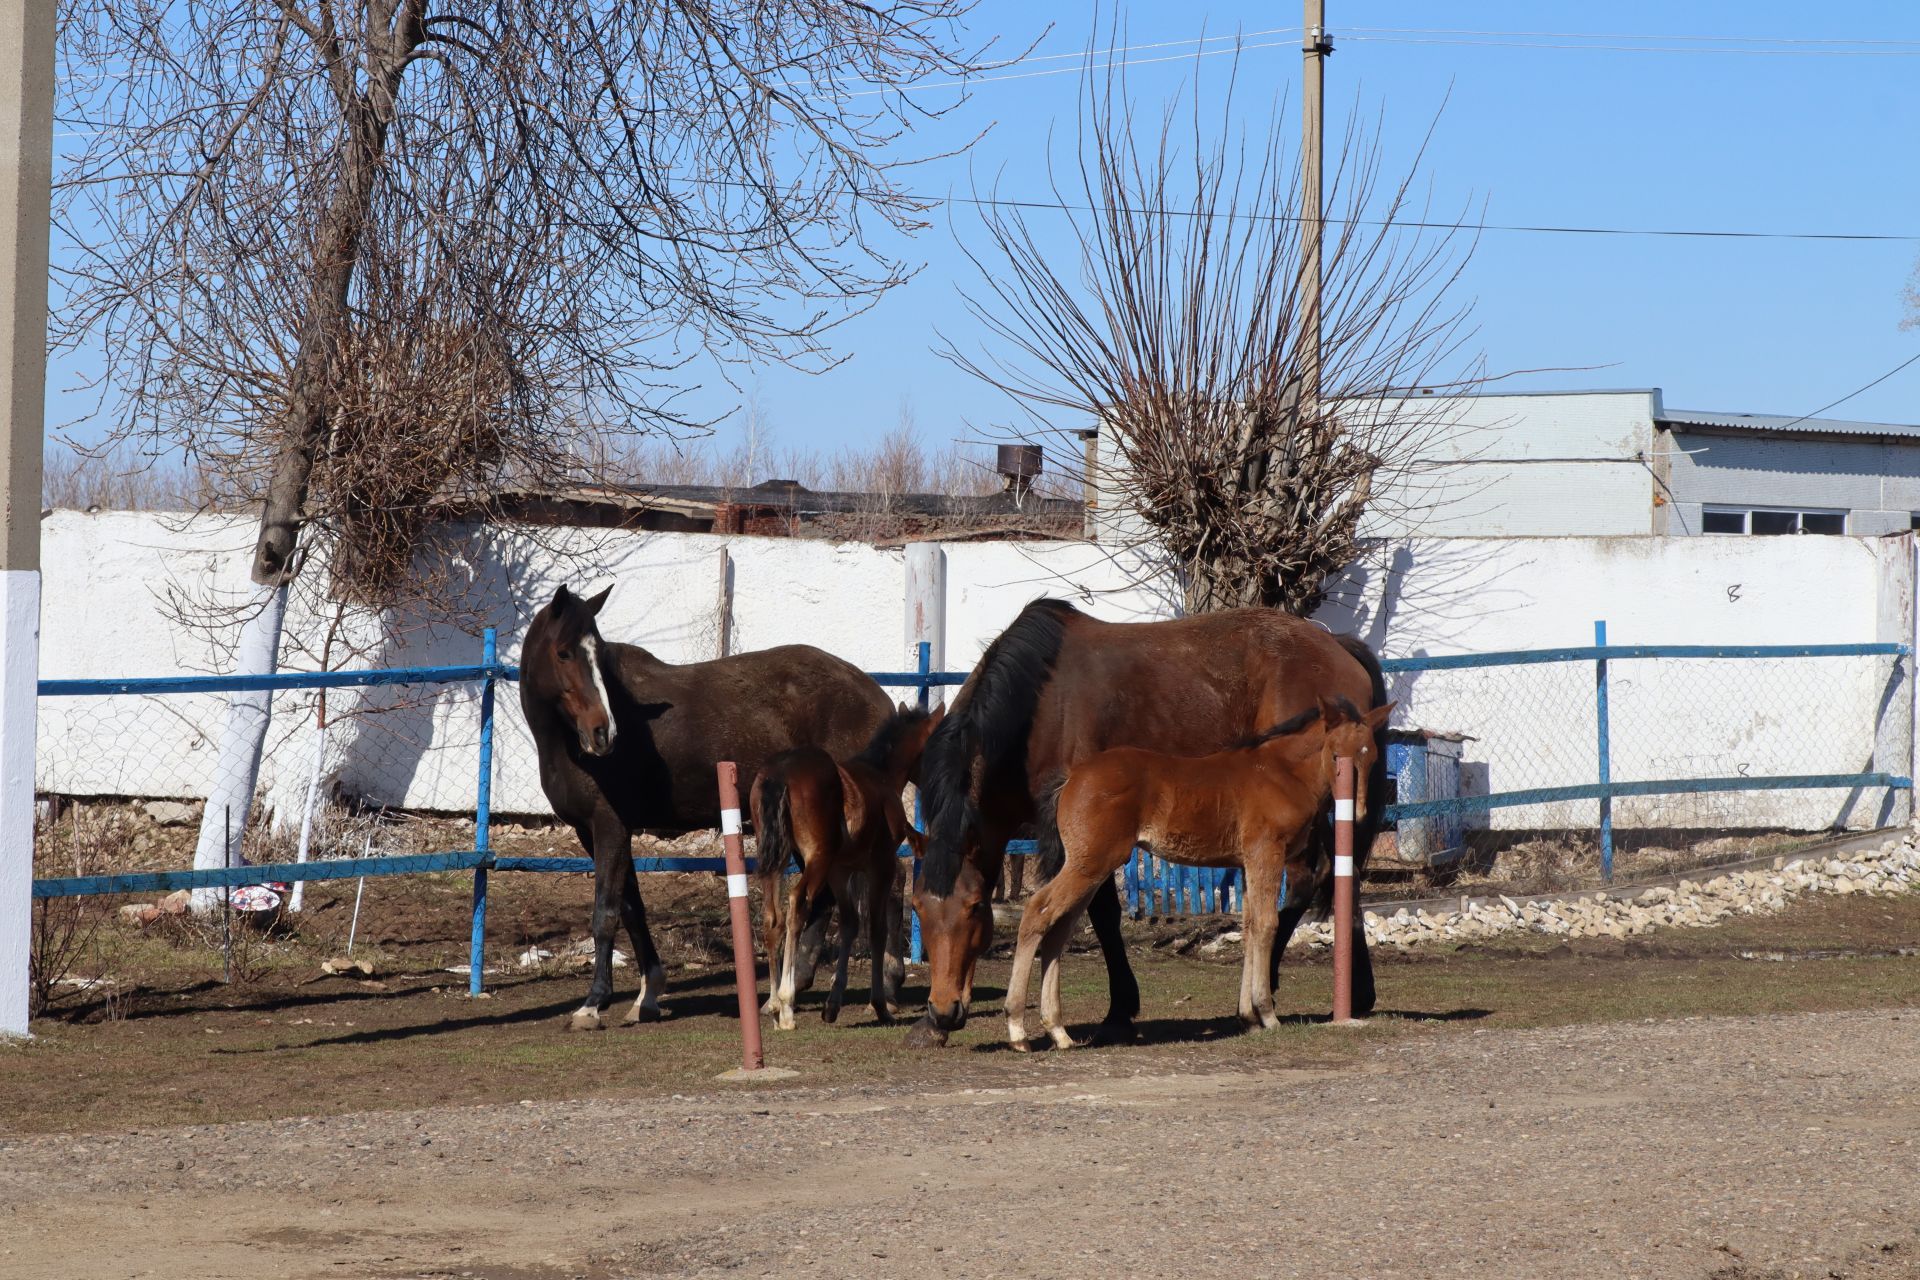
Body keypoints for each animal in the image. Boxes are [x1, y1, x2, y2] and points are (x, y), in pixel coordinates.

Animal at [518, 587, 890, 1036]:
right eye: (563, 653)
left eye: (598, 653)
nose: (603, 732)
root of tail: (875, 696)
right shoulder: (594, 832)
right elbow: (631, 908)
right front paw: (647, 996)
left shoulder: (608, 826)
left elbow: (605, 913)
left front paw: (593, 1004)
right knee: (822, 901)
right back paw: (788, 993)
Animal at [752, 702, 940, 1028]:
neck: (881, 774)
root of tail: (779, 773)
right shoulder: (879, 865)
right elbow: (875, 929)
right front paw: (880, 1006)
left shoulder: (841, 870)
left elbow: (850, 923)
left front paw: (833, 1004)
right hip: (816, 858)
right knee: (797, 904)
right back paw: (786, 1005)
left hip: (776, 859)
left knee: (772, 917)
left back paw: (774, 1003)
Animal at [1006, 702, 1397, 1051]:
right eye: (1336, 756)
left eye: (1371, 756)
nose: (1359, 812)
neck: (1282, 773)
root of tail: (1071, 777)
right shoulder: (1266, 854)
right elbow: (1267, 925)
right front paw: (1268, 1014)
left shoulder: (1248, 863)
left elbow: (1250, 927)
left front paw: (1248, 1017)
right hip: (1091, 863)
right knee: (1037, 911)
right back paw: (1017, 1030)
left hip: (1089, 866)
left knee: (1058, 928)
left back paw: (1058, 1032)